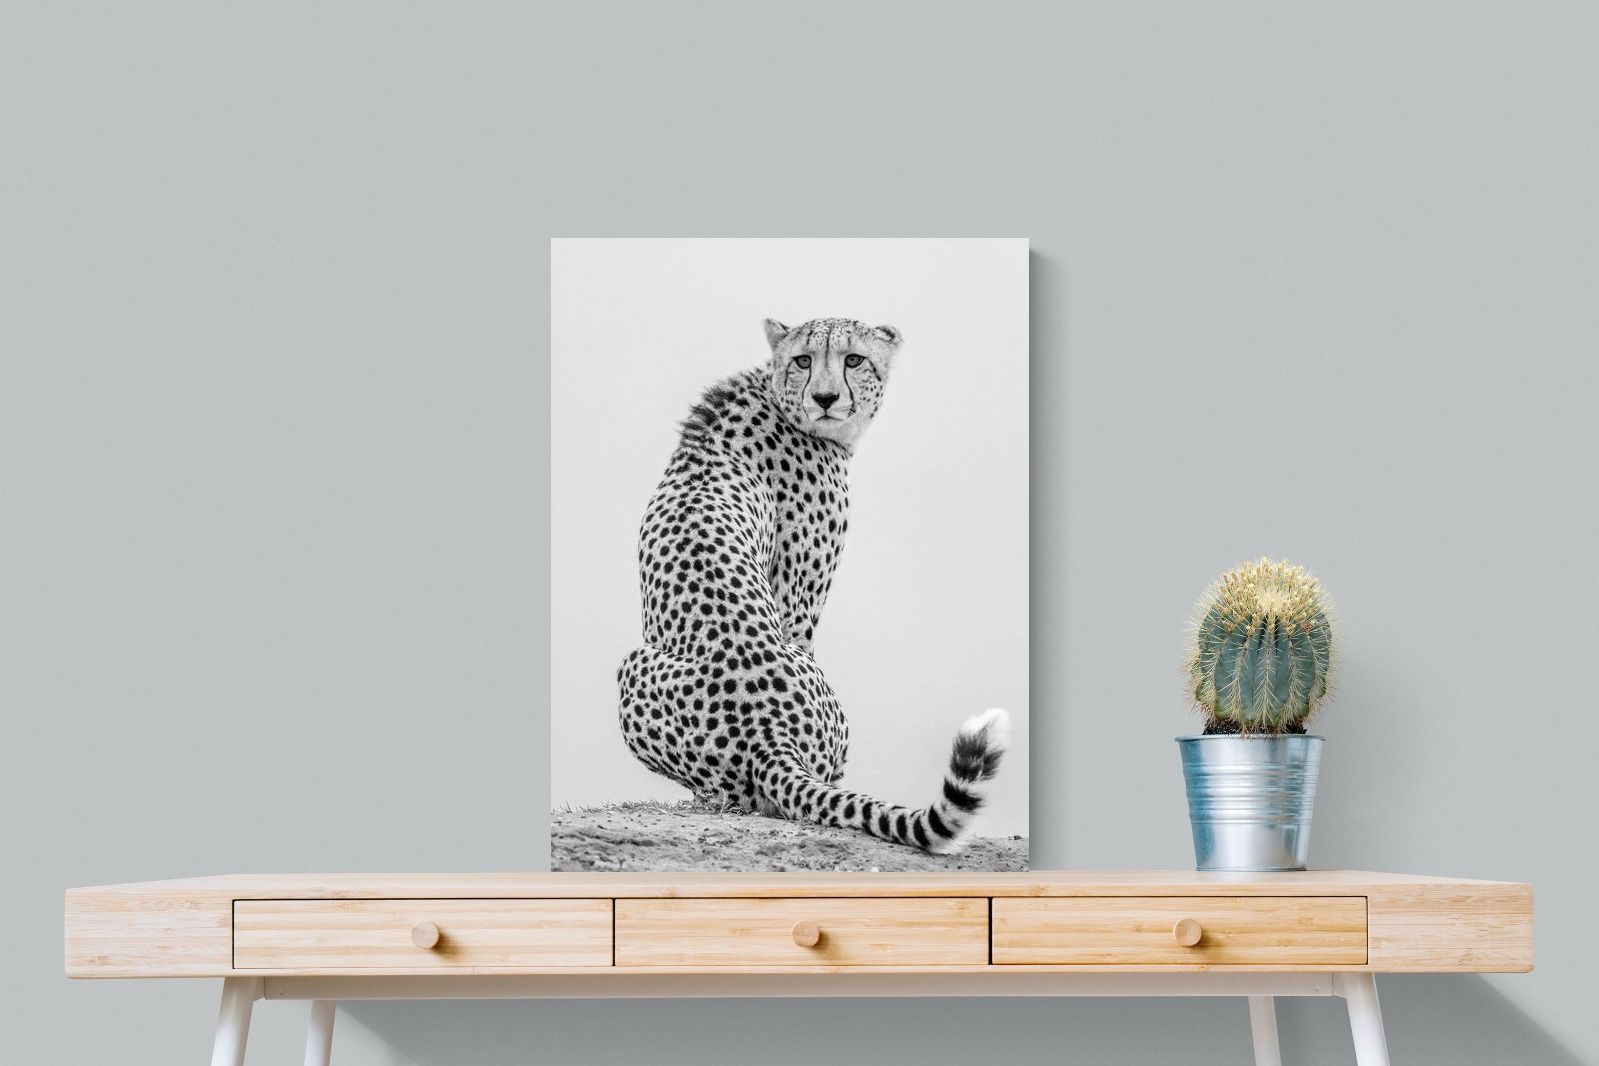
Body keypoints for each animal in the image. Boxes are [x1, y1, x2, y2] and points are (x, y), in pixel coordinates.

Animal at [616, 316, 1009, 854]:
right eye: (804, 360)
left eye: (853, 359)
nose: (825, 397)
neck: (777, 397)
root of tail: (767, 734)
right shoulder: (797, 601)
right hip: (635, 665)